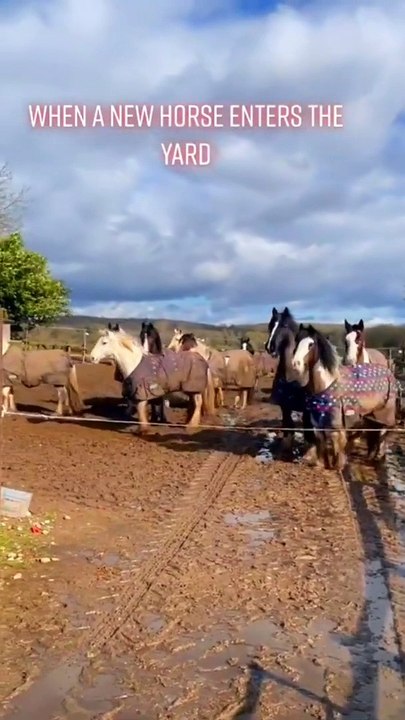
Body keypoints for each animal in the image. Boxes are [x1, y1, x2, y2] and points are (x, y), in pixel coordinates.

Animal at [265, 306, 315, 458]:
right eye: (270, 325)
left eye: (284, 325)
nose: (270, 347)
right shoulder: (284, 405)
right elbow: (288, 425)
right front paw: (285, 448)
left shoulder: (306, 408)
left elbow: (307, 427)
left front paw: (308, 452)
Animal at [292, 324, 398, 469]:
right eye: (296, 341)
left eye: (310, 344)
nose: (295, 364)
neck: (327, 383)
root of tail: (388, 371)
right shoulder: (318, 423)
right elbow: (321, 443)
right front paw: (321, 464)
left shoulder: (336, 424)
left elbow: (337, 444)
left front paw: (338, 466)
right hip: (371, 415)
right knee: (373, 432)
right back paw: (371, 455)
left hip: (384, 412)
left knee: (382, 432)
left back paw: (379, 457)